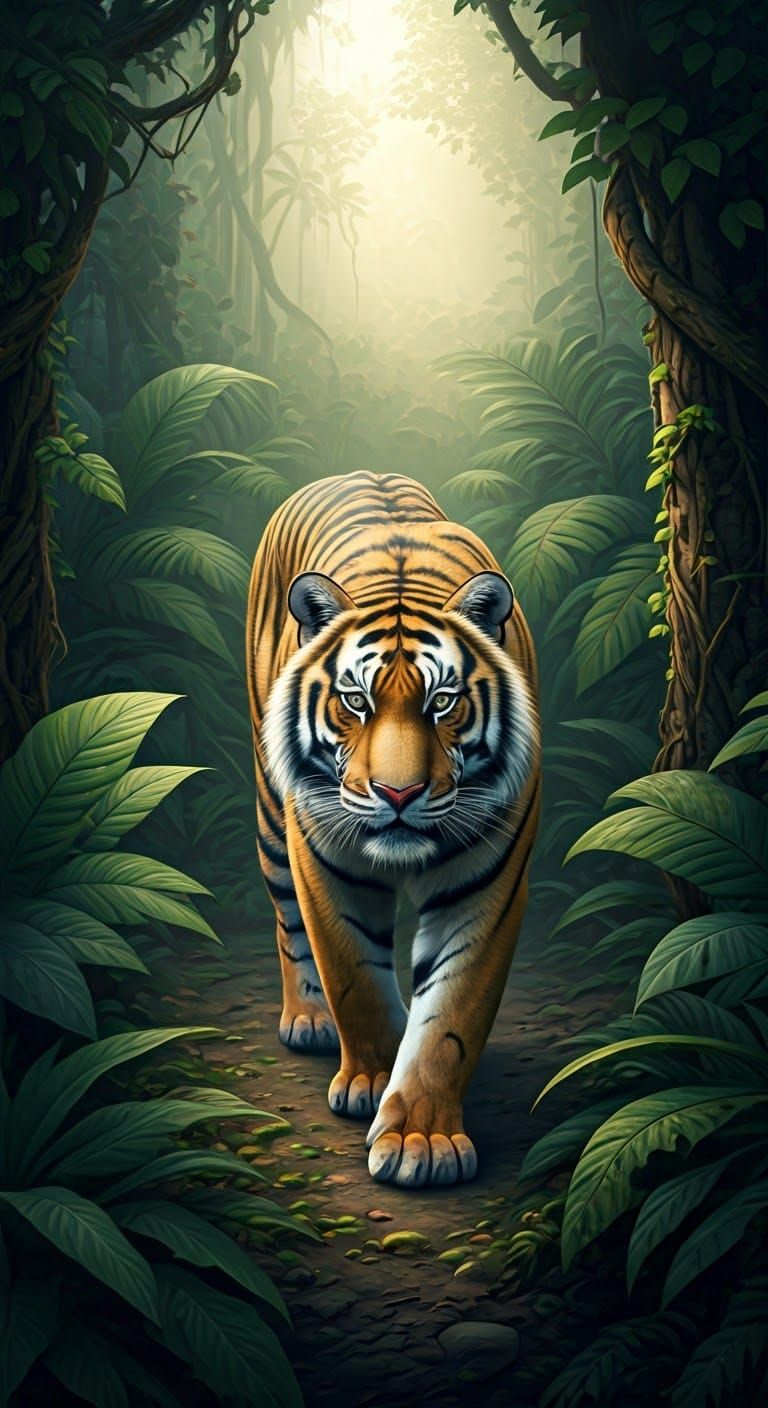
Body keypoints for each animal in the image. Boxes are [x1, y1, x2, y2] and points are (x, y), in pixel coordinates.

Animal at [246, 470, 540, 1188]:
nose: (398, 793)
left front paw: (420, 1140)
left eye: (443, 701)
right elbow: (356, 979)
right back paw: (309, 1019)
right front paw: (373, 1080)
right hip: (271, 811)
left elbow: (450, 1017)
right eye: (356, 701)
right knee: (287, 919)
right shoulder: (325, 860)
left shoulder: (485, 883)